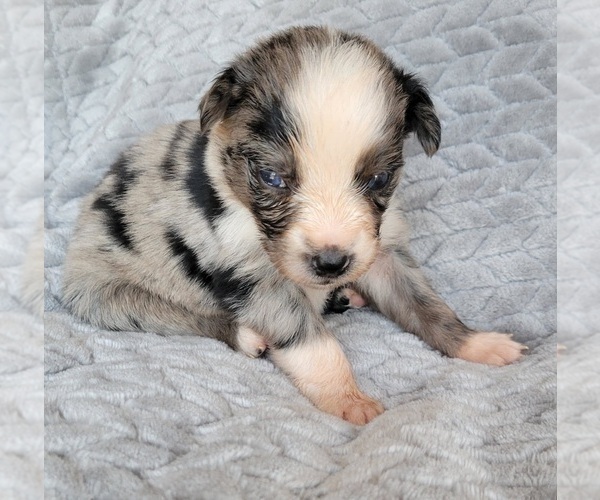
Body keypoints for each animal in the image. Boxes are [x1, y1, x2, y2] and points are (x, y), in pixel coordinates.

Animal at [63, 26, 524, 426]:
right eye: (272, 178)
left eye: (378, 178)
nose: (332, 264)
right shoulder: (255, 278)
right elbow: (317, 346)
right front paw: (349, 399)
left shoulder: (383, 252)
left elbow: (427, 306)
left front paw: (477, 343)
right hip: (110, 298)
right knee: (186, 319)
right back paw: (247, 336)